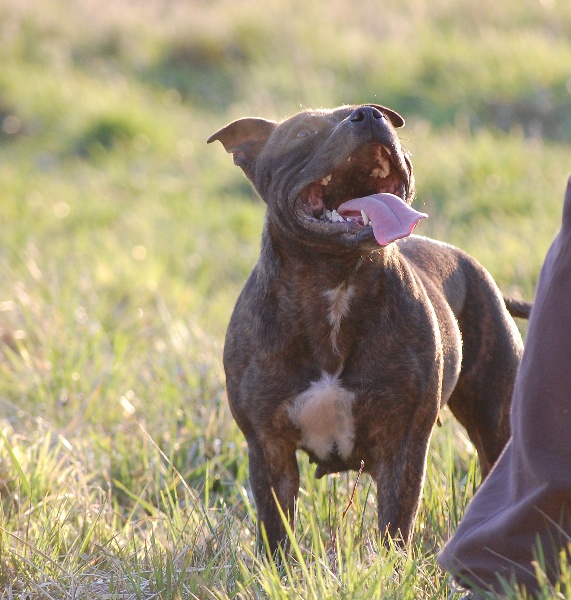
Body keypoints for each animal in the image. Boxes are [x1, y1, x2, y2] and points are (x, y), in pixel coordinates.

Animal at [207, 104, 532, 552]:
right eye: (302, 132)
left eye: (383, 115)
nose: (368, 114)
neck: (336, 279)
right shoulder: (269, 447)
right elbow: (276, 528)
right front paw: (278, 565)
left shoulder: (402, 444)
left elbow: (395, 523)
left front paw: (392, 563)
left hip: (494, 416)